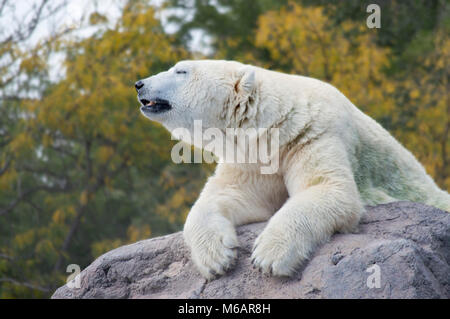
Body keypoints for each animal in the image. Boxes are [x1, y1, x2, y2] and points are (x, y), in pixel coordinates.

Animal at [136, 60, 450, 280]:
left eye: (181, 71)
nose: (139, 84)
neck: (276, 123)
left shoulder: (312, 135)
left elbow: (327, 188)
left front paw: (269, 255)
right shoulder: (252, 158)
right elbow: (229, 196)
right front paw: (216, 258)